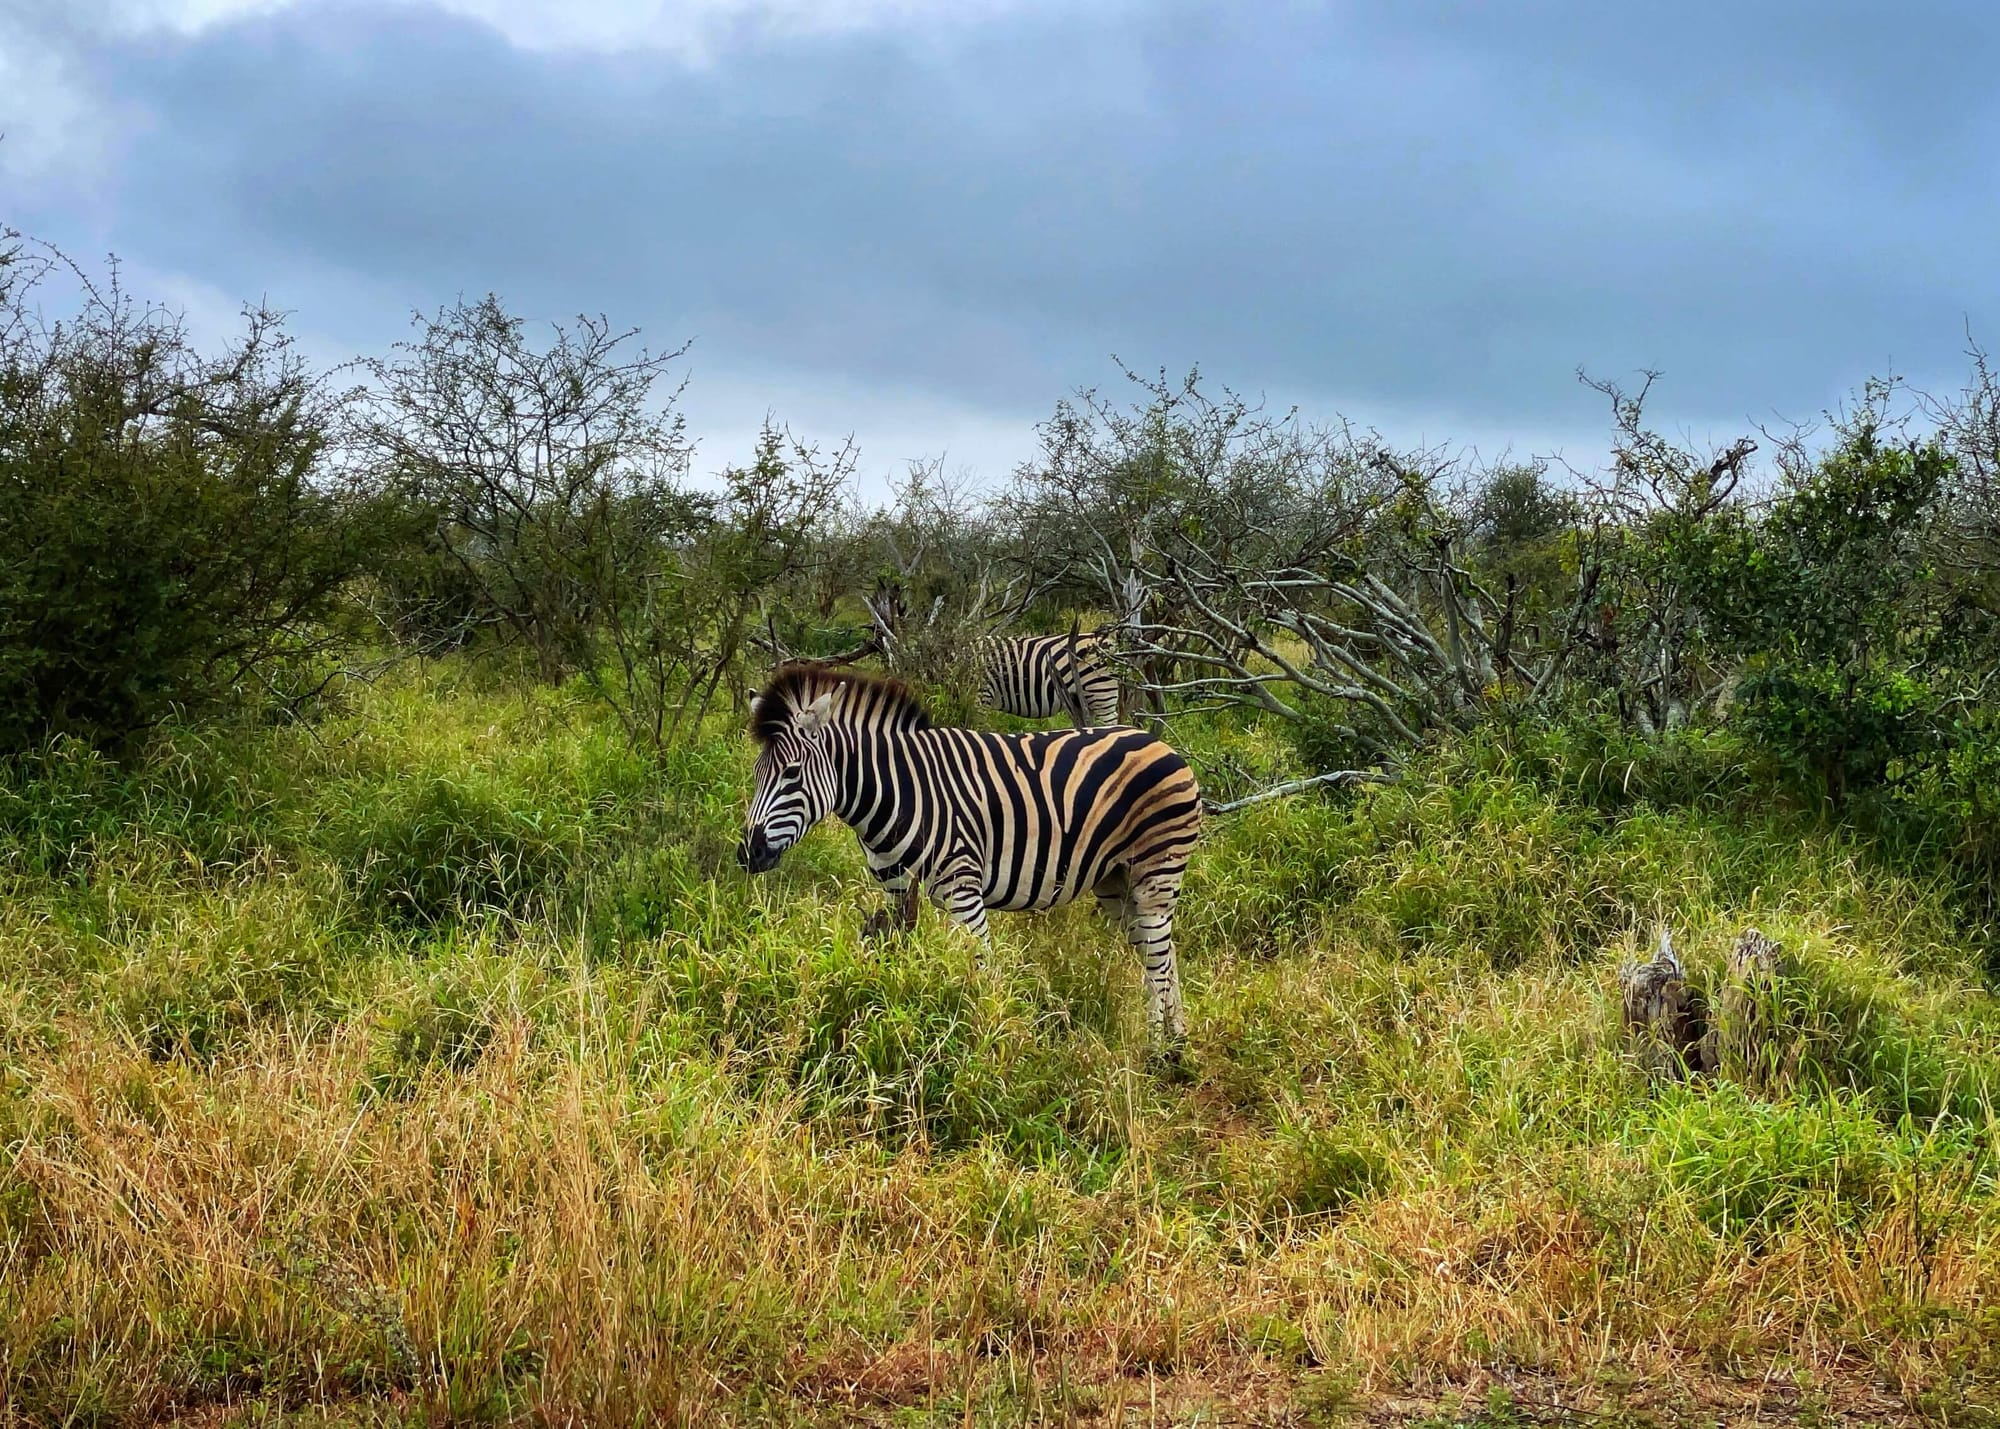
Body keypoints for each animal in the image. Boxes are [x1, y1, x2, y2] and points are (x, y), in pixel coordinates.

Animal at [740, 660, 1192, 1048]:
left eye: (791, 773)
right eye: (757, 773)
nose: (749, 854)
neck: (901, 793)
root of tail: (1162, 745)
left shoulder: (963, 892)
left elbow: (980, 969)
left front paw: (983, 1047)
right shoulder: (896, 889)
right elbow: (895, 961)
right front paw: (891, 1025)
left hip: (1156, 872)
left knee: (1157, 959)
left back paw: (1154, 1050)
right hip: (1115, 881)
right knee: (1163, 953)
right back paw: (1177, 1039)